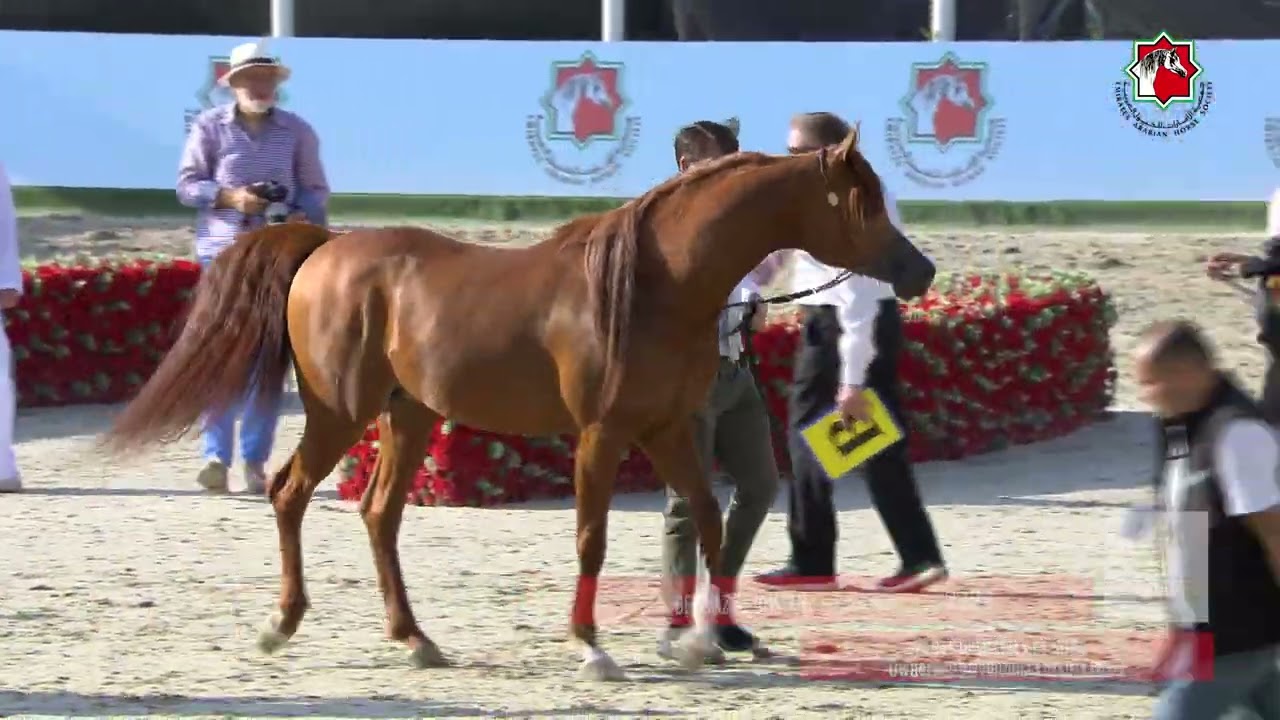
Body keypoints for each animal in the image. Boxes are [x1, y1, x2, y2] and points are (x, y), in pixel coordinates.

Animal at [102, 128, 934, 681]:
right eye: (861, 200)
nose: (920, 269)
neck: (655, 285)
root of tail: (324, 248)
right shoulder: (602, 434)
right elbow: (593, 538)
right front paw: (591, 644)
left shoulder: (667, 429)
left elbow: (705, 520)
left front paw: (705, 636)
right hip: (341, 412)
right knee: (289, 493)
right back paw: (281, 624)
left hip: (408, 416)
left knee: (379, 514)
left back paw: (415, 638)